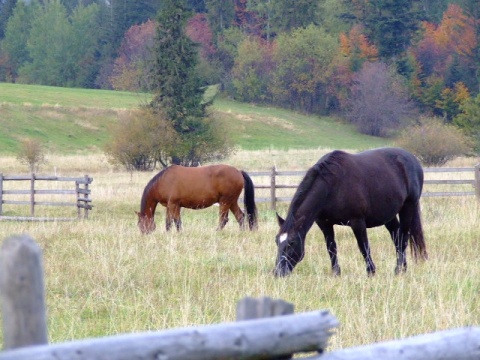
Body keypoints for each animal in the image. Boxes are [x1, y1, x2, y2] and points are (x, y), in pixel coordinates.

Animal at [274, 148, 428, 278]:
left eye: (292, 243)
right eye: (277, 241)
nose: (278, 273)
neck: (332, 185)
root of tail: (412, 159)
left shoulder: (357, 222)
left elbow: (364, 247)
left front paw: (371, 272)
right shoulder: (324, 224)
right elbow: (331, 248)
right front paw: (336, 273)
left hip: (408, 207)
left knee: (403, 238)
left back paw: (398, 270)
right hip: (388, 214)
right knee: (396, 236)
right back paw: (403, 268)